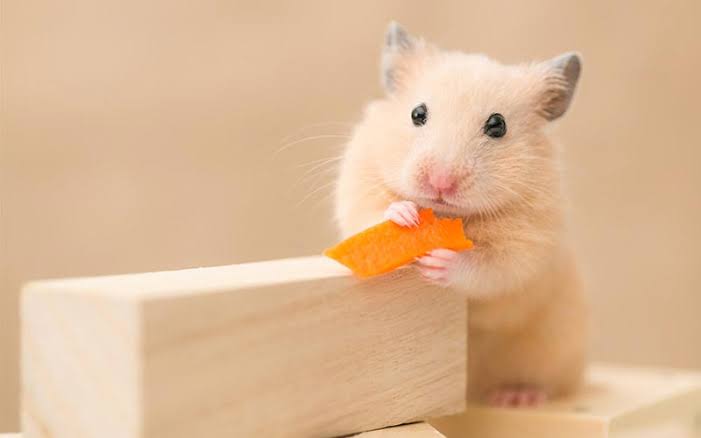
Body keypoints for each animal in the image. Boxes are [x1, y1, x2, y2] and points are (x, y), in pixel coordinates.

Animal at [333, 22, 587, 407]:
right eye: (417, 114)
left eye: (497, 125)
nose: (440, 181)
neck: (447, 216)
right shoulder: (360, 180)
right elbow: (370, 212)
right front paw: (404, 214)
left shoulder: (527, 243)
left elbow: (490, 268)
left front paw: (438, 261)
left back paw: (516, 396)